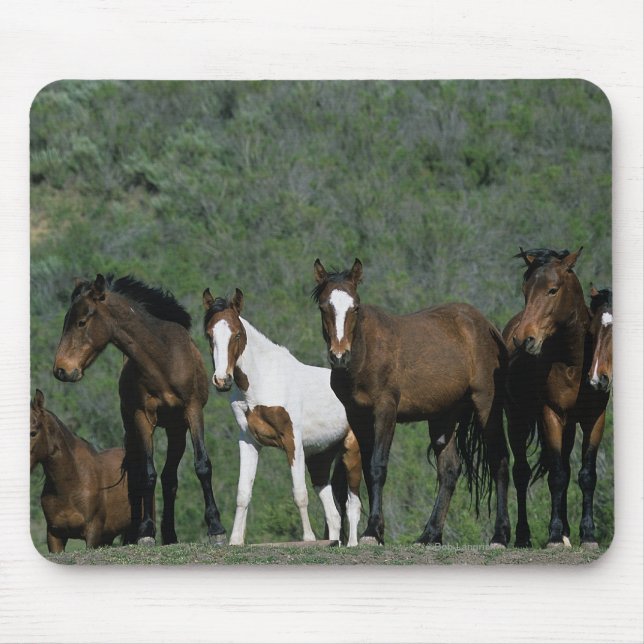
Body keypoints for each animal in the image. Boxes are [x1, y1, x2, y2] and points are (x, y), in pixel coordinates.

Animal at [53, 274, 226, 546]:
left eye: (81, 322)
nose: (60, 369)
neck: (163, 359)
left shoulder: (193, 411)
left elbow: (202, 465)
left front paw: (216, 528)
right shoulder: (142, 419)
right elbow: (146, 474)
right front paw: (145, 531)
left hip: (176, 430)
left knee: (169, 478)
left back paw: (170, 535)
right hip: (133, 429)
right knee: (140, 476)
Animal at [202, 288, 362, 546]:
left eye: (237, 334)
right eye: (209, 335)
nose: (222, 380)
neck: (264, 380)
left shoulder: (292, 441)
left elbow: (299, 493)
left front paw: (307, 538)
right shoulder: (248, 441)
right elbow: (243, 493)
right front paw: (235, 540)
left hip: (352, 450)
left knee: (353, 504)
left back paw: (352, 544)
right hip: (320, 458)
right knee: (334, 514)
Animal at [312, 258, 510, 546]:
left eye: (355, 307)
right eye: (324, 307)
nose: (340, 356)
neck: (365, 353)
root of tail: (485, 325)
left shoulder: (386, 411)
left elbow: (378, 466)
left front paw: (371, 531)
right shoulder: (358, 416)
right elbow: (369, 469)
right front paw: (377, 531)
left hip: (486, 404)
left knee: (500, 461)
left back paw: (500, 535)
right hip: (443, 416)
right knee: (449, 470)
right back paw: (430, 535)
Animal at [503, 248, 610, 548]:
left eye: (552, 290)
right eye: (525, 290)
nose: (523, 340)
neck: (573, 363)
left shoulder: (594, 419)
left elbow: (586, 475)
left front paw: (588, 535)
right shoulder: (550, 415)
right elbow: (557, 476)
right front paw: (552, 535)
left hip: (569, 426)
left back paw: (567, 533)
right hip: (517, 421)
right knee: (522, 473)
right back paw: (524, 536)